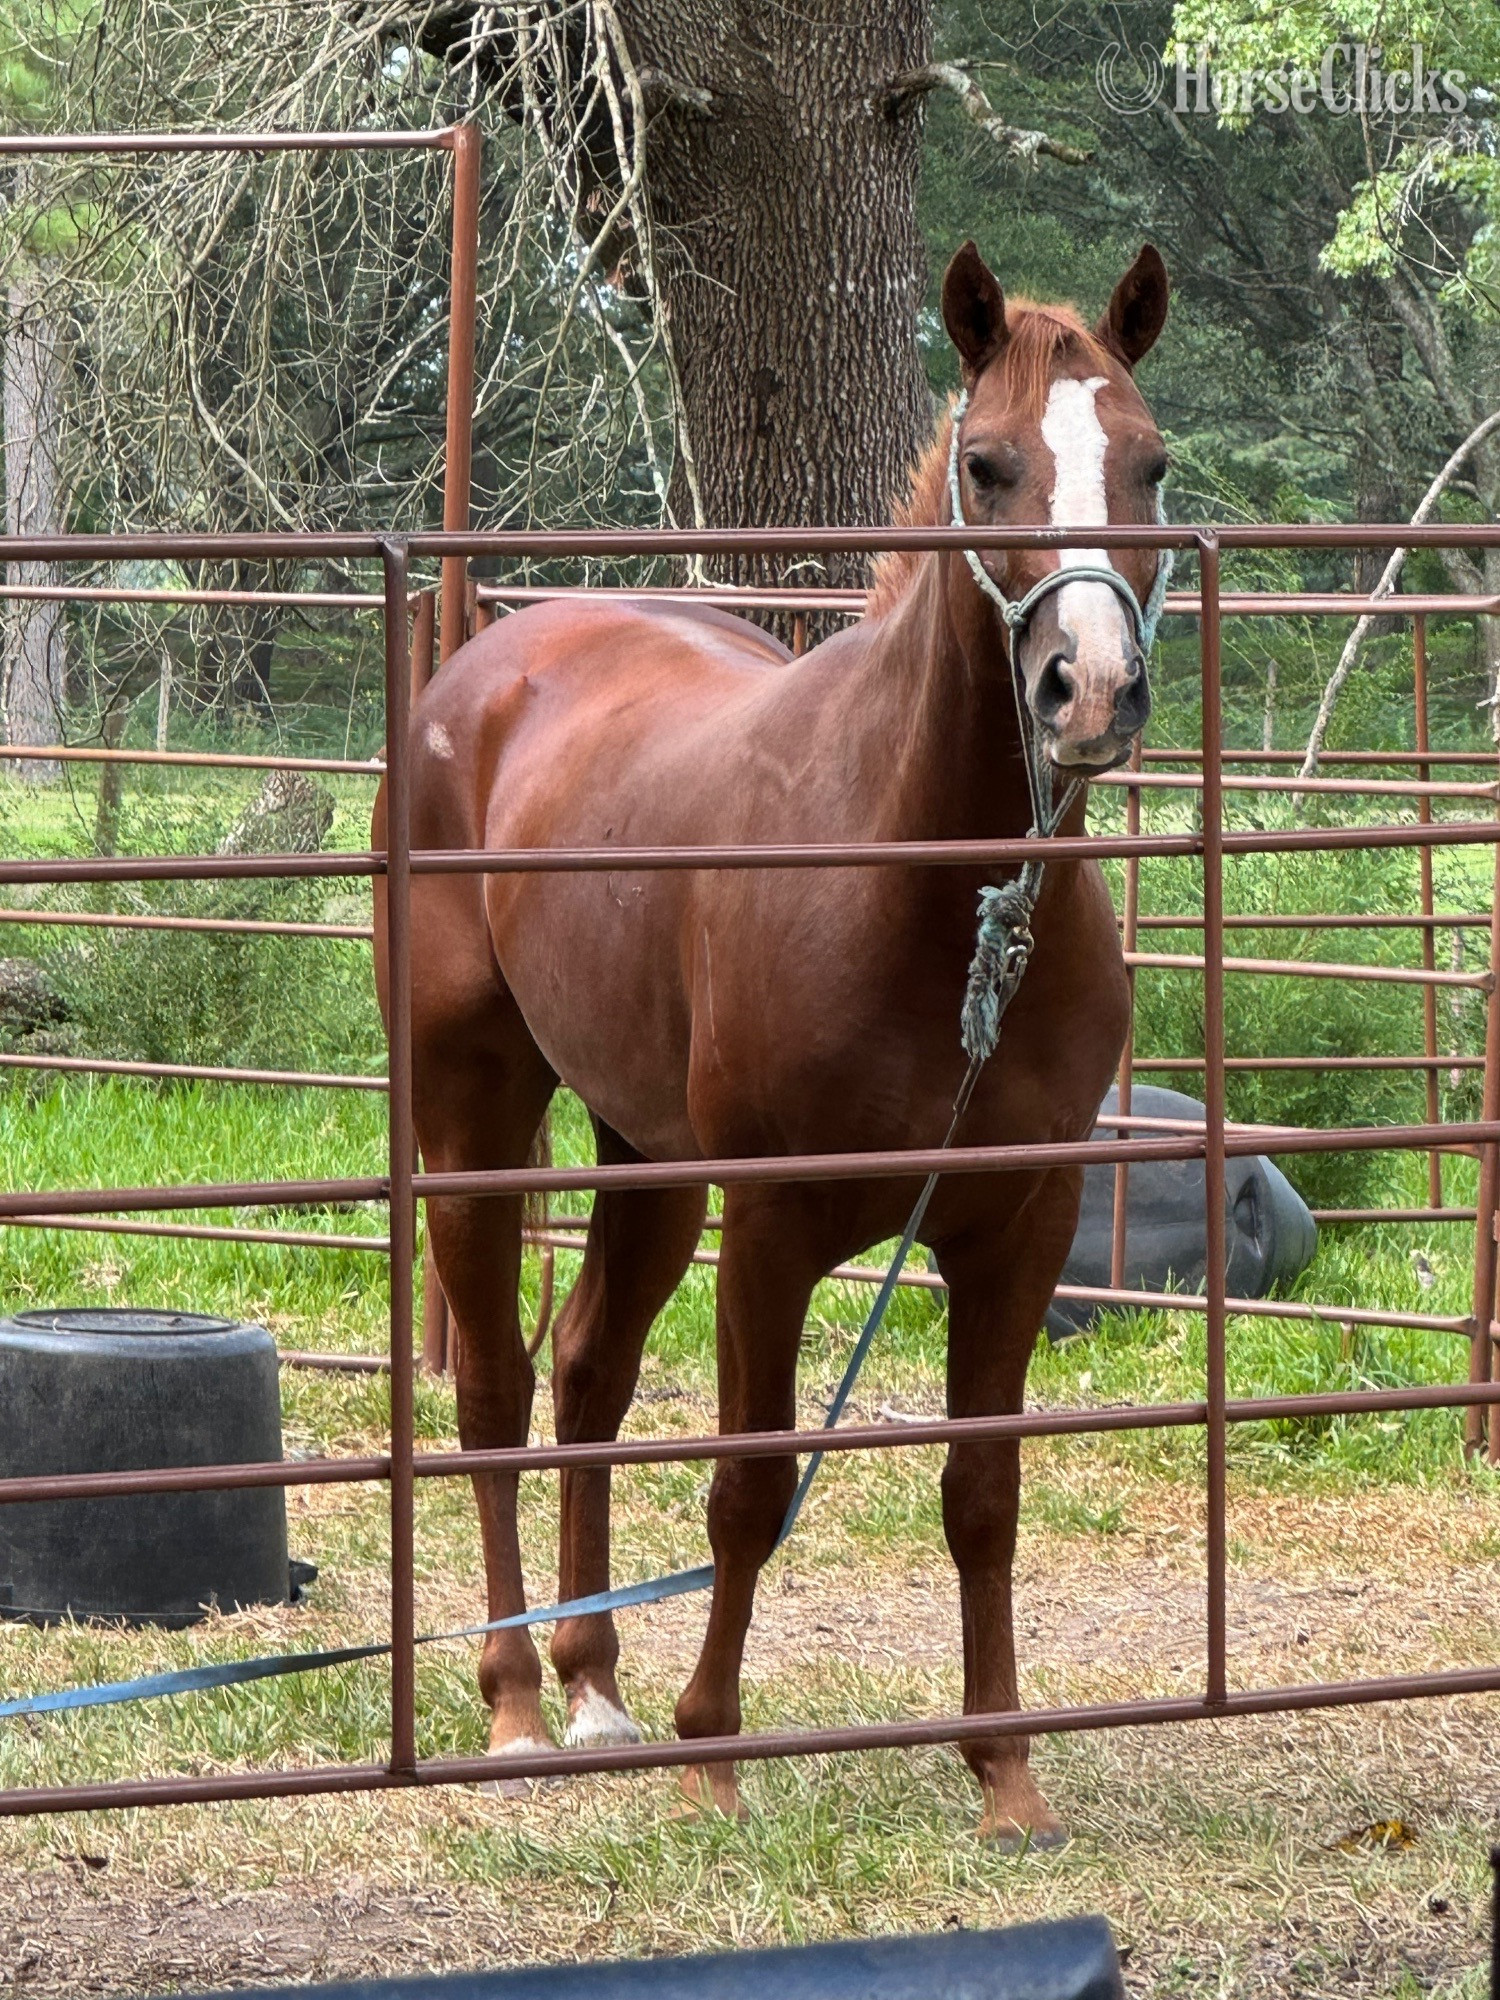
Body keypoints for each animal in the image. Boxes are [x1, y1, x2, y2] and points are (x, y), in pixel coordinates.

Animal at [373, 238, 1170, 1843]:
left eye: (1152, 463)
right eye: (987, 464)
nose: (1092, 690)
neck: (927, 893)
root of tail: (487, 660)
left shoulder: (1023, 1224)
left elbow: (982, 1494)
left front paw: (1005, 1772)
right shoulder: (775, 1227)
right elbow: (747, 1485)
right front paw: (715, 1756)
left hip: (646, 1157)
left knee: (588, 1377)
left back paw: (595, 1688)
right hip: (480, 1123)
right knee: (495, 1388)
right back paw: (514, 1703)